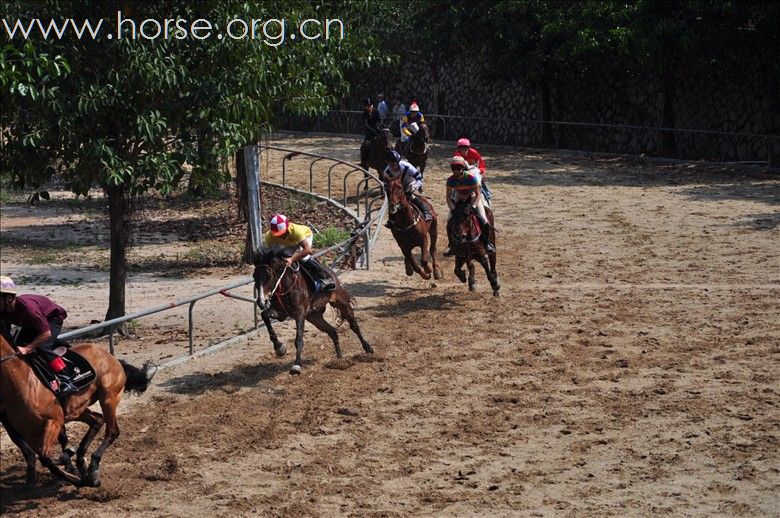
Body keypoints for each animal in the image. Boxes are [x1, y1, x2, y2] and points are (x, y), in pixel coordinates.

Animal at [0, 336, 155, 490]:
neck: (23, 382)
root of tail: (110, 356)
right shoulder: (28, 433)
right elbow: (40, 457)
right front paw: (77, 476)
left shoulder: (54, 421)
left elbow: (49, 456)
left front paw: (76, 472)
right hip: (77, 410)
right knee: (97, 421)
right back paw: (82, 461)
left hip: (108, 398)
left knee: (112, 431)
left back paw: (91, 467)